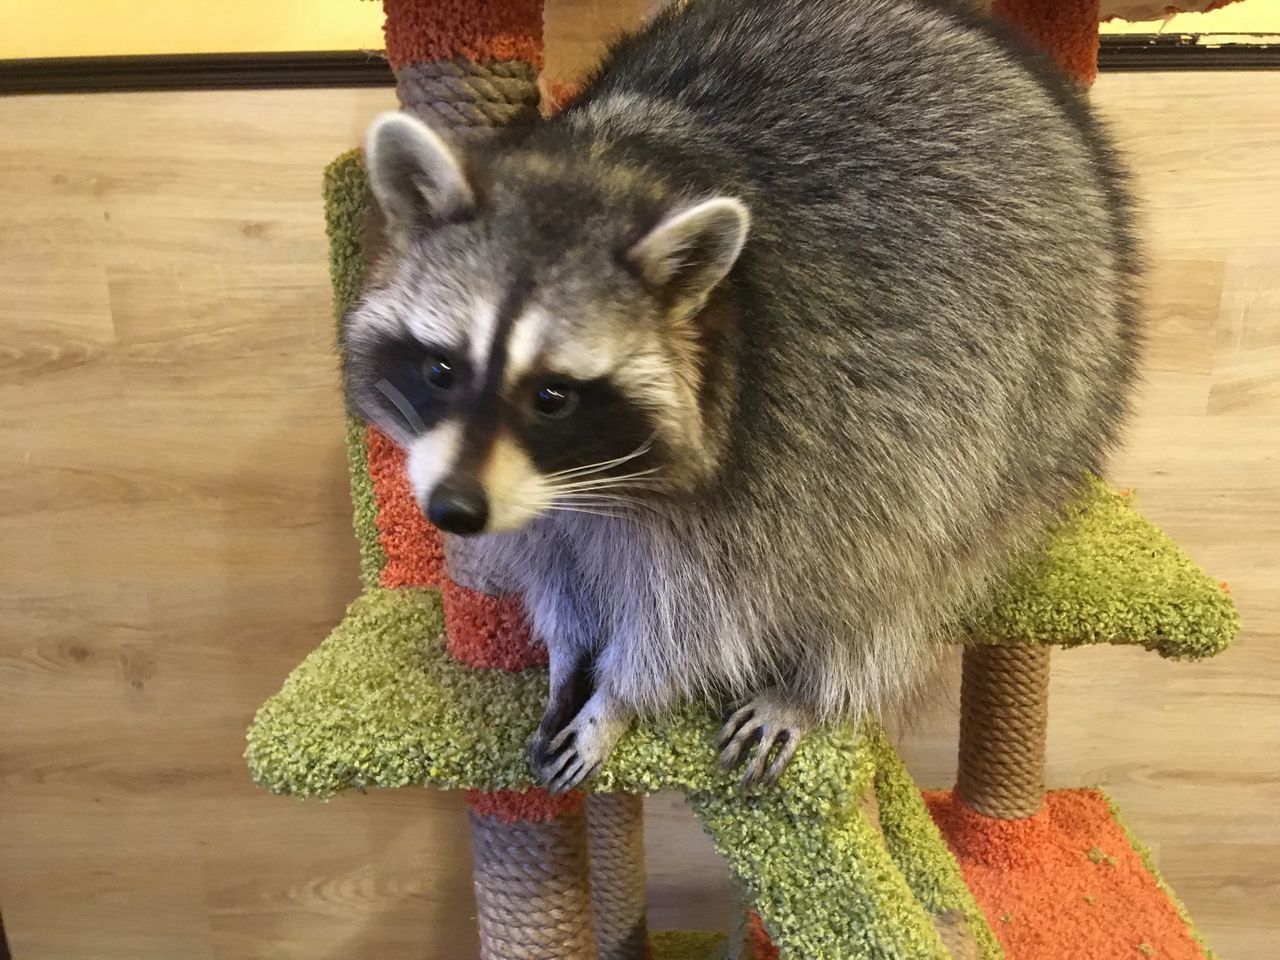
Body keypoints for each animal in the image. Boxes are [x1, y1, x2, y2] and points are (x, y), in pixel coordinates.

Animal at [343, 0, 1141, 793]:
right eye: (440, 370)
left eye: (552, 396)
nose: (453, 511)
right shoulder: (526, 494)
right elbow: (557, 564)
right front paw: (569, 658)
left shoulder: (779, 443)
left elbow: (706, 617)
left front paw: (617, 697)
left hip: (1042, 395)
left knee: (909, 555)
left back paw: (821, 680)